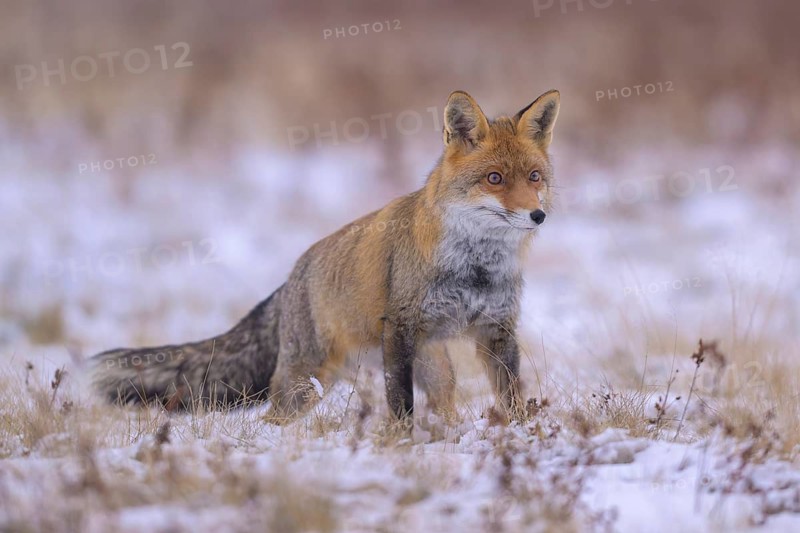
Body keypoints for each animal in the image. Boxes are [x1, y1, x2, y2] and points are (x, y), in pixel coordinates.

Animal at [92, 89, 561, 425]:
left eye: (534, 177)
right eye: (494, 178)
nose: (537, 215)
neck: (475, 269)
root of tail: (291, 277)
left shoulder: (496, 329)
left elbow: (512, 395)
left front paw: (518, 434)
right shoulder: (400, 330)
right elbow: (400, 405)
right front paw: (401, 443)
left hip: (434, 368)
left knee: (444, 406)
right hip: (306, 381)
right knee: (269, 421)